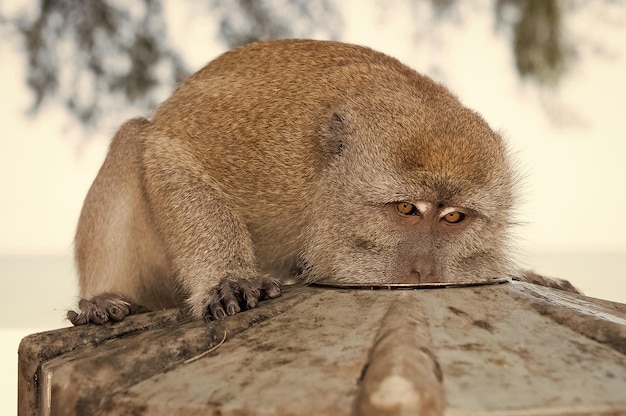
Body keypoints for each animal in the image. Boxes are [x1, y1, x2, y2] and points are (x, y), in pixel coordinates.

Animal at [68, 39, 576, 324]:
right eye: (406, 209)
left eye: (453, 217)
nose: (424, 271)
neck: (323, 186)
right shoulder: (273, 151)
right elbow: (171, 150)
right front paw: (229, 278)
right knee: (135, 137)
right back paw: (102, 297)